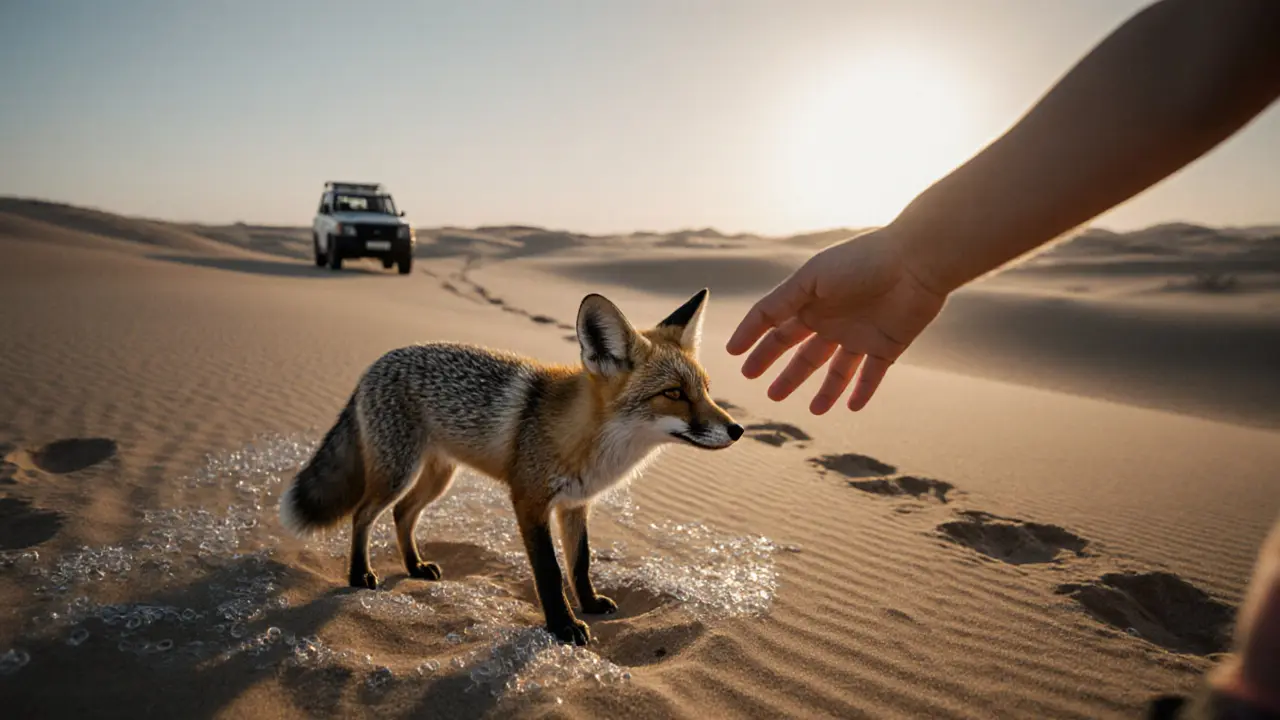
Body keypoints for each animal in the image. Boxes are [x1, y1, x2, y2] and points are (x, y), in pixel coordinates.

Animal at [278, 288, 744, 645]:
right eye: (674, 393)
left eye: (706, 390)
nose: (737, 429)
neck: (590, 440)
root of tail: (374, 365)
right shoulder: (529, 501)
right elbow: (550, 573)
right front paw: (563, 626)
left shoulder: (575, 505)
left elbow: (580, 564)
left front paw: (589, 605)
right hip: (398, 473)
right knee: (363, 514)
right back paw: (360, 573)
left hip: (438, 478)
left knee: (402, 514)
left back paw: (414, 566)